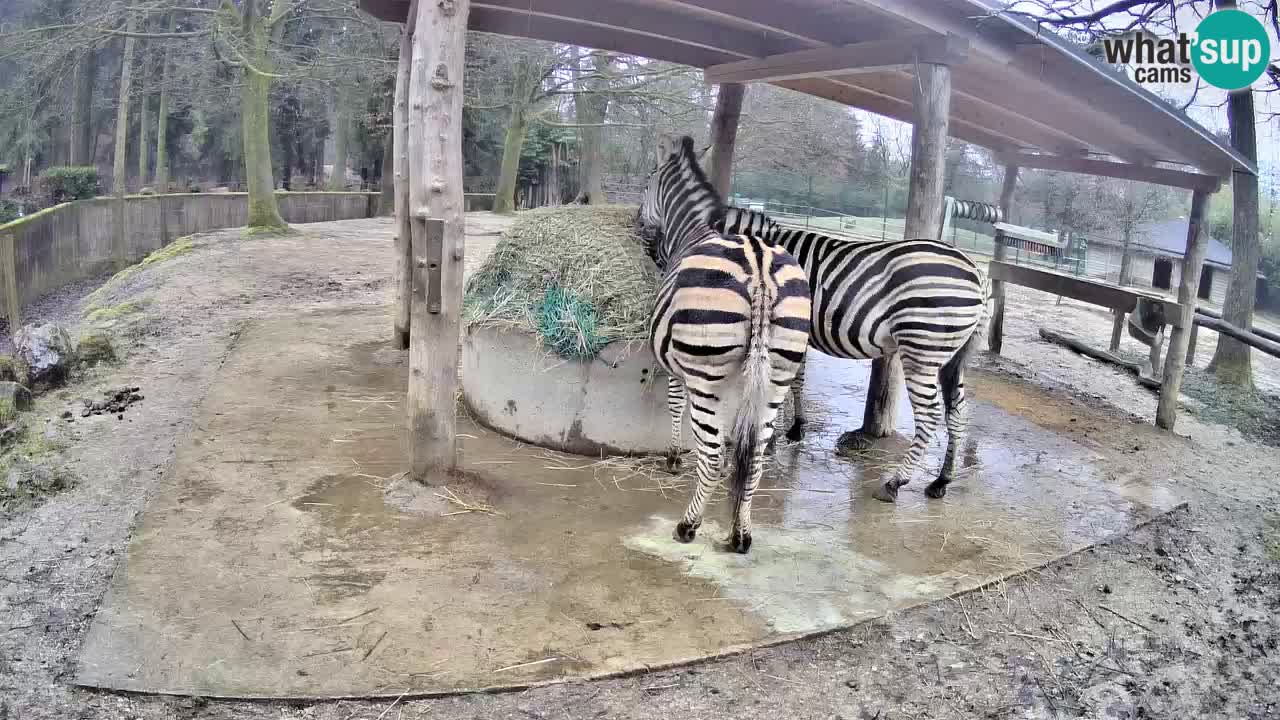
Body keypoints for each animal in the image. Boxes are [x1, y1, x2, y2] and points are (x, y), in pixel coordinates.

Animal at [637, 136, 811, 554]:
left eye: (648, 181)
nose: (637, 225)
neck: (692, 229)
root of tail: (761, 268)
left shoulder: (676, 366)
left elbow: (675, 405)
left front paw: (672, 457)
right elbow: (738, 438)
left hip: (706, 377)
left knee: (713, 457)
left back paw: (688, 525)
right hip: (776, 376)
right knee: (757, 457)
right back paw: (741, 534)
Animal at [714, 207, 990, 504]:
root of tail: (977, 273)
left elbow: (778, 383)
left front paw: (771, 438)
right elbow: (794, 381)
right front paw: (794, 428)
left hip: (922, 347)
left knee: (929, 416)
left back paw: (895, 482)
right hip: (953, 357)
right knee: (957, 412)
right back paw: (941, 480)